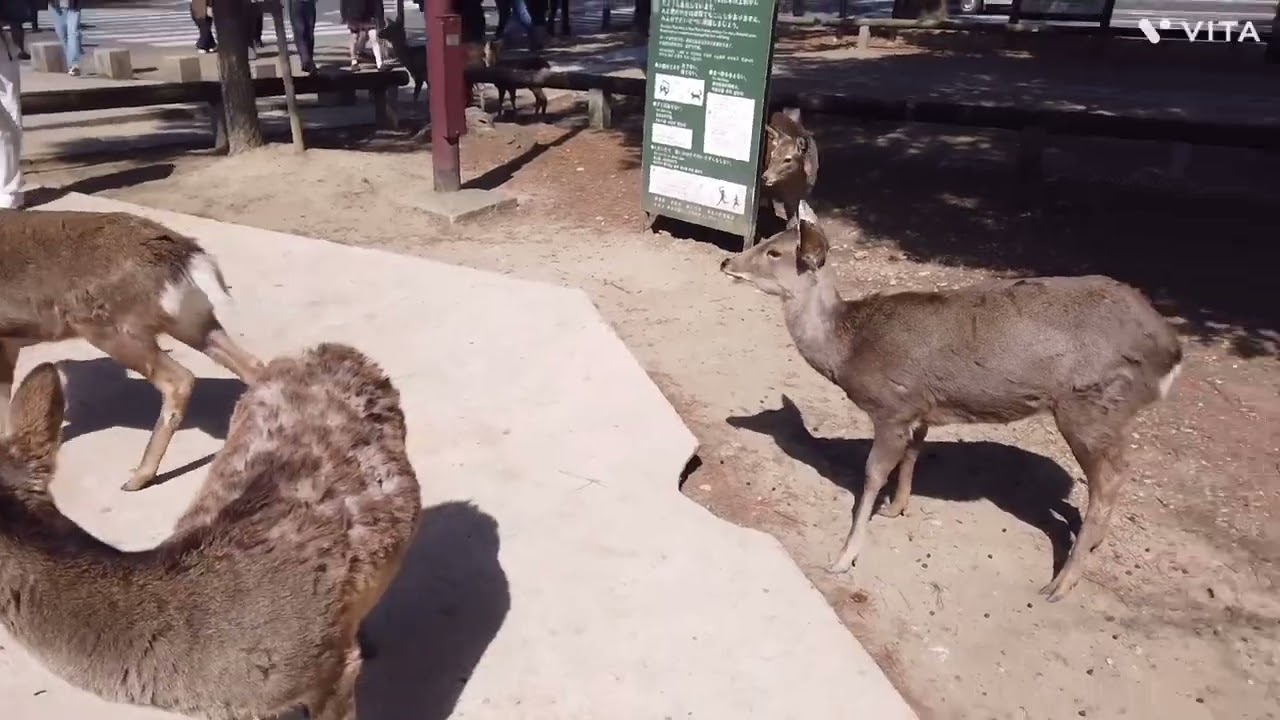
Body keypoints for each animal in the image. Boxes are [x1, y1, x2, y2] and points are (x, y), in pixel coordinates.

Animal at [0, 209, 265, 492]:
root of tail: (189, 258)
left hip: (111, 326)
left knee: (179, 380)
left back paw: (139, 477)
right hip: (191, 322)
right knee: (251, 366)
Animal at [719, 203, 1183, 602]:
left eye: (774, 251)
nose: (727, 264)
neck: (848, 348)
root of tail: (1172, 351)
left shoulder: (892, 404)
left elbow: (871, 474)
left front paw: (844, 556)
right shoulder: (920, 407)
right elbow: (912, 455)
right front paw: (896, 508)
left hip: (1091, 403)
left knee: (1111, 479)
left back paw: (1060, 583)